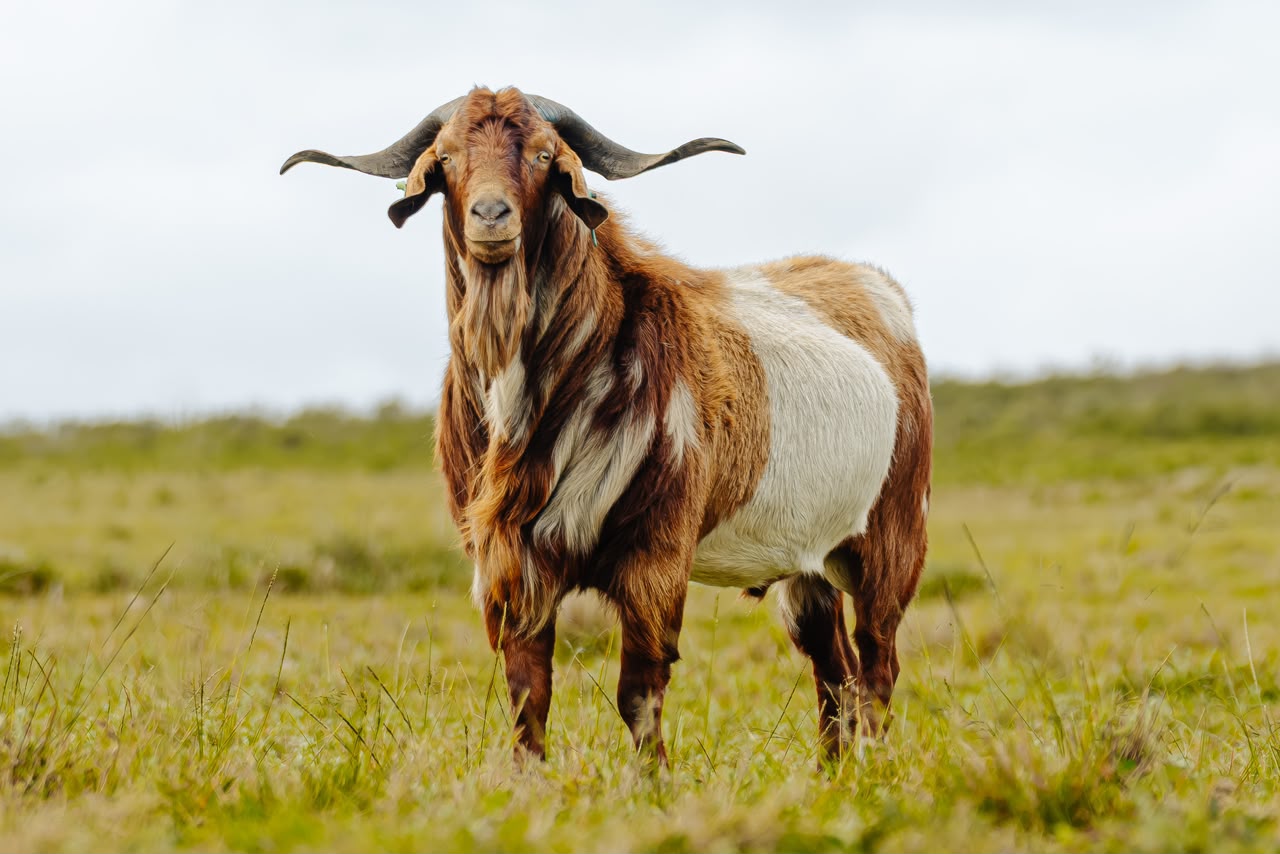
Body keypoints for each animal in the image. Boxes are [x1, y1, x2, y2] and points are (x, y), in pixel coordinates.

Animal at [281, 87, 932, 764]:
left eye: (544, 155)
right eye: (447, 158)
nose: (491, 216)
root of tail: (883, 290)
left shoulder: (657, 557)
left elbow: (638, 694)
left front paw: (655, 783)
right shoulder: (510, 565)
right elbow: (528, 693)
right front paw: (529, 779)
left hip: (892, 538)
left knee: (877, 666)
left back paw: (872, 766)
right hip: (810, 564)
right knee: (834, 670)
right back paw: (833, 773)